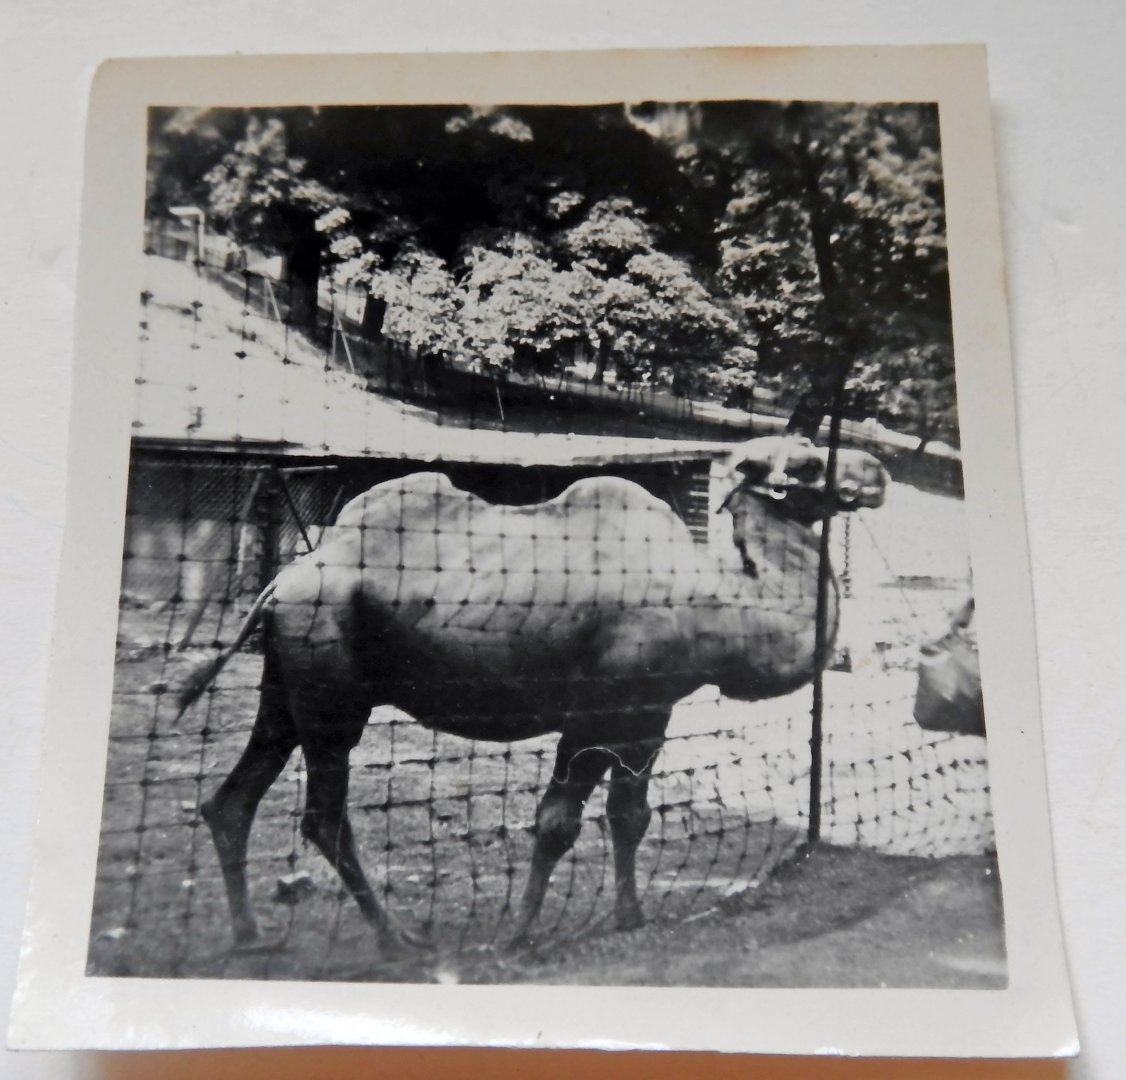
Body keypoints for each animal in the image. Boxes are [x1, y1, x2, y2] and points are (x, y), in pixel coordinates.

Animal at [174, 434, 888, 954]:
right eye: (804, 460)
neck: (724, 605)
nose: (876, 472)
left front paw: (631, 916)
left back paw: (250, 935)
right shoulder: (596, 709)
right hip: (332, 696)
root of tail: (283, 581)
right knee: (322, 815)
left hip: (286, 689)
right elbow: (557, 823)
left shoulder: (651, 712)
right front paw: (519, 935)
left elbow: (630, 816)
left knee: (232, 799)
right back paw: (397, 937)